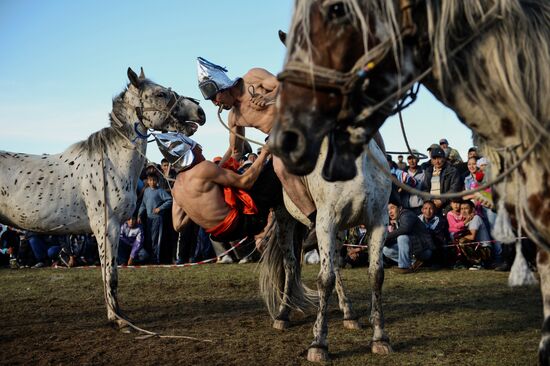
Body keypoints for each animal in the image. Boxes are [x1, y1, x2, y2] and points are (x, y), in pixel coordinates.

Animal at [0, 68, 206, 328]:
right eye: (160, 93)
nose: (200, 112)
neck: (111, 163)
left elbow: (108, 273)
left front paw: (117, 315)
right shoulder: (107, 227)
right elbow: (110, 274)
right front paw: (118, 319)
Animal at [260, 138, 392, 364]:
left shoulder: (378, 223)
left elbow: (376, 276)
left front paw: (379, 338)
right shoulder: (325, 223)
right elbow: (325, 280)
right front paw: (319, 343)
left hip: (339, 231)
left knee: (337, 266)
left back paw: (349, 314)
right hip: (285, 219)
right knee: (290, 265)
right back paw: (283, 314)